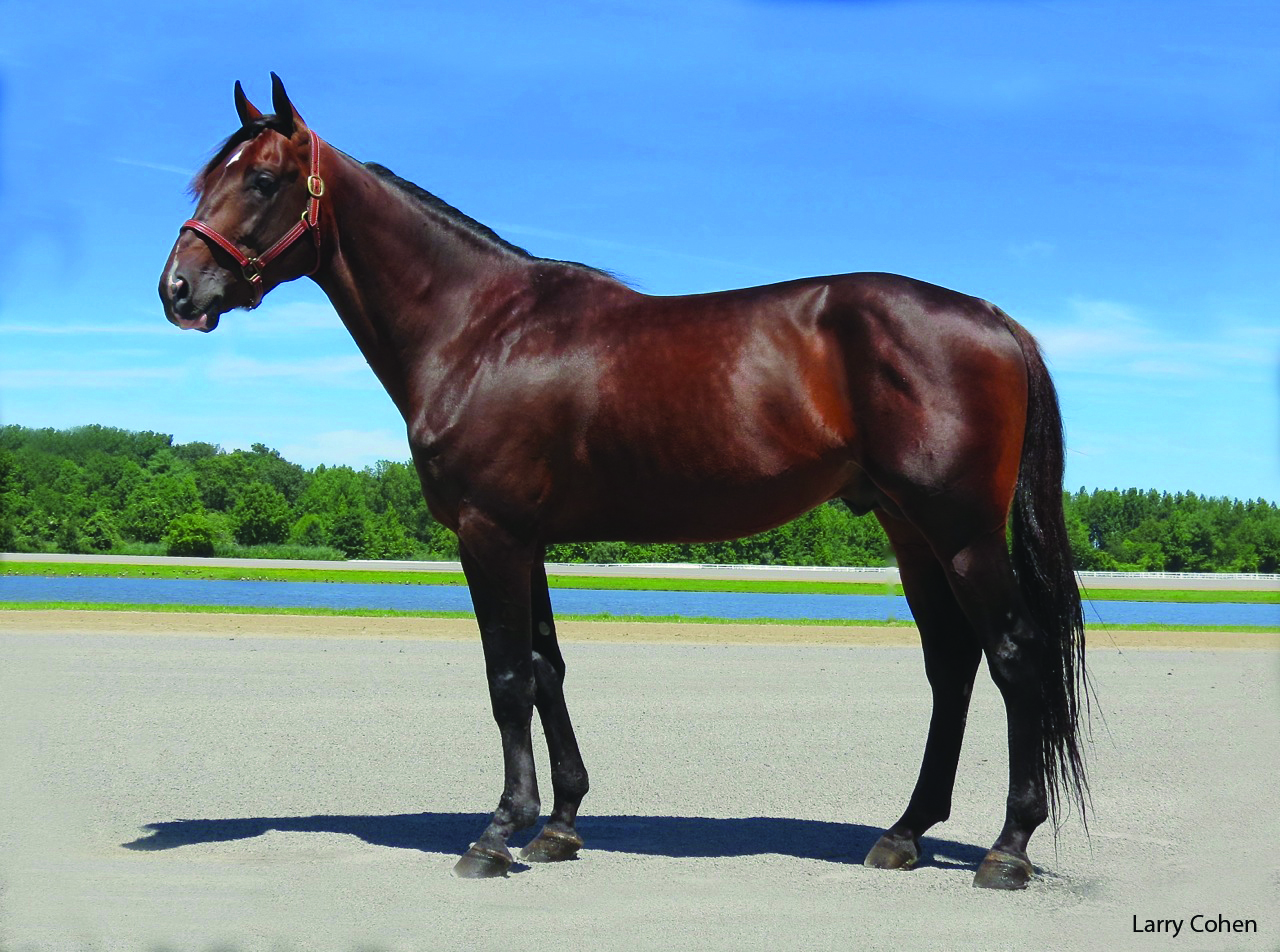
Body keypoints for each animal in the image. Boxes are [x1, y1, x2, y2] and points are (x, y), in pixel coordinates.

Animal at [159, 74, 1088, 888]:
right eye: (208, 178)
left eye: (264, 180)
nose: (178, 289)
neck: (480, 328)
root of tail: (992, 318)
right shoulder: (525, 539)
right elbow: (546, 667)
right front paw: (559, 825)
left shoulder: (488, 534)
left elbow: (506, 679)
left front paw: (497, 832)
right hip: (911, 531)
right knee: (952, 664)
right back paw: (903, 833)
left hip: (962, 534)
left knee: (1014, 657)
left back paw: (1007, 849)